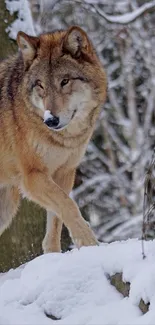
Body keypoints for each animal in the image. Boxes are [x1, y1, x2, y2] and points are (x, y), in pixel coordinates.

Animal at [0, 26, 106, 252]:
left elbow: (57, 220)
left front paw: (53, 254)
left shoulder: (64, 173)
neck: (63, 140)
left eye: (64, 81)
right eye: (40, 85)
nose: (50, 120)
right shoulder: (32, 177)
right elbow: (69, 205)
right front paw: (89, 243)